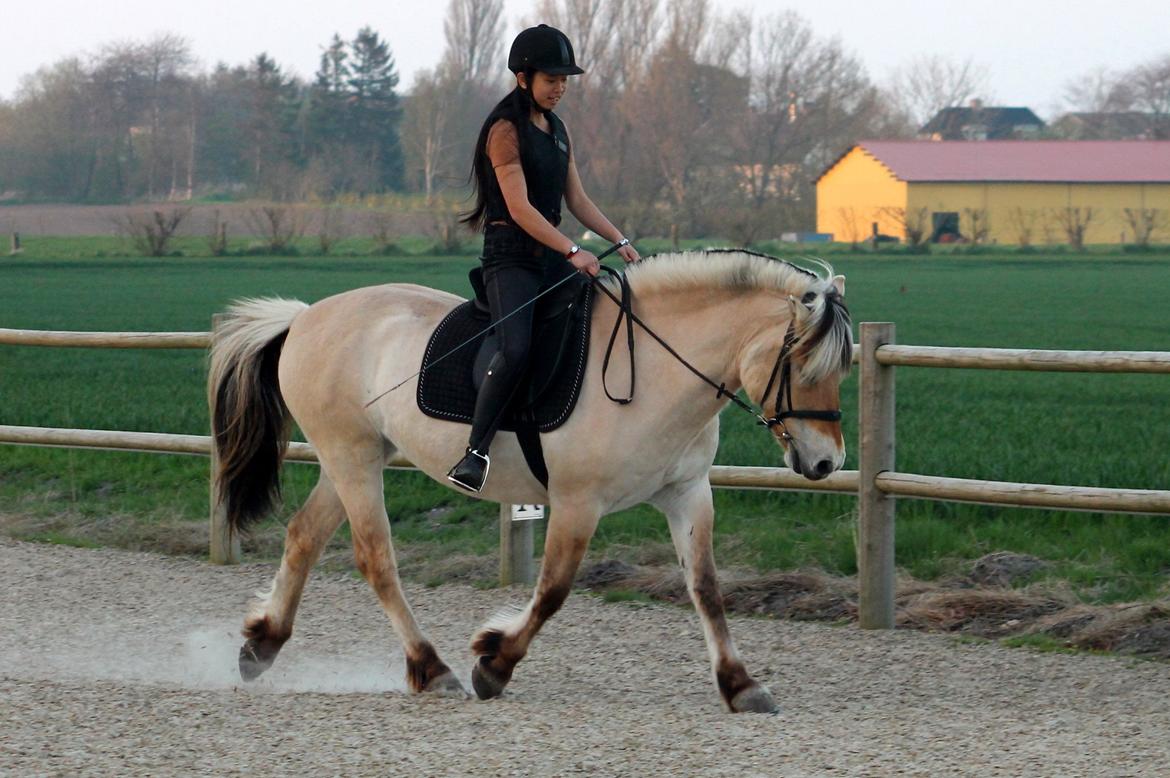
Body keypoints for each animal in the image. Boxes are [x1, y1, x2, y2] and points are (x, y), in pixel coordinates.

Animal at [208, 249, 851, 711]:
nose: (826, 463)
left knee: (304, 536)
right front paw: (493, 663)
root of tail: (304, 317)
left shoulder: (687, 494)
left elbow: (707, 589)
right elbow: (553, 589)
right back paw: (431, 668)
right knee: (375, 557)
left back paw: (260, 645)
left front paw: (741, 685)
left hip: (355, 459)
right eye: (802, 365)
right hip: (353, 457)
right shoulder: (577, 501)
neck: (656, 368)